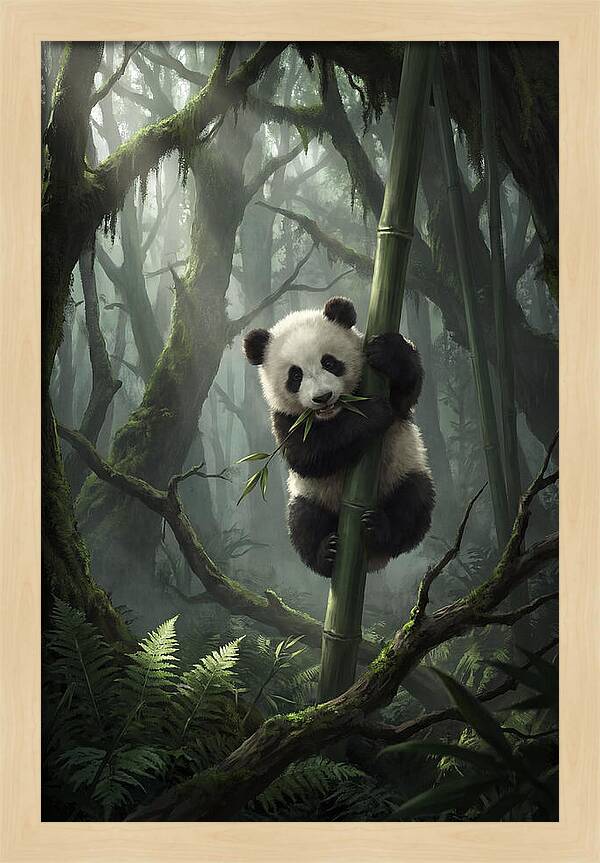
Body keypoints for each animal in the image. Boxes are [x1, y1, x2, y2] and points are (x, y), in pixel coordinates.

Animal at [243, 296, 435, 578]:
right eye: (295, 375)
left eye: (330, 362)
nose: (322, 397)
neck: (335, 414)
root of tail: (372, 561)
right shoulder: (285, 418)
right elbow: (307, 455)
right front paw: (372, 412)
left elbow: (406, 393)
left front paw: (388, 353)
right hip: (311, 496)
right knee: (303, 521)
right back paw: (327, 553)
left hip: (403, 471)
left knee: (413, 503)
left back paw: (380, 529)